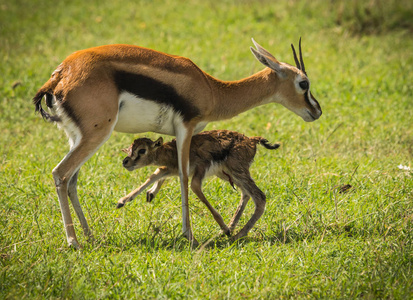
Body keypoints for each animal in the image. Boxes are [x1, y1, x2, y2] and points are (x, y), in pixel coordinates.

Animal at [116, 129, 278, 241]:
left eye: (142, 150)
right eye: (130, 149)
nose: (125, 162)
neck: (173, 152)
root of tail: (252, 140)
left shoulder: (195, 174)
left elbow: (193, 188)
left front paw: (224, 228)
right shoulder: (172, 169)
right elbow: (155, 174)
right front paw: (124, 201)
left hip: (237, 171)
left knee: (260, 197)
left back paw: (235, 235)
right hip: (228, 174)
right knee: (246, 194)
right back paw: (231, 229)